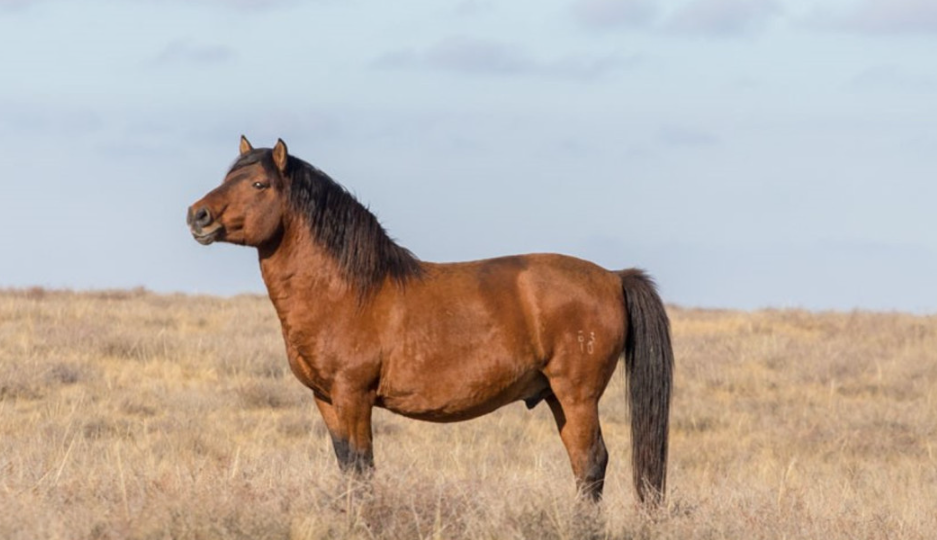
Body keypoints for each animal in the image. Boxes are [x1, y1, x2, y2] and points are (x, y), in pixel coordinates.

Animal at [187, 137, 673, 503]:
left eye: (258, 183)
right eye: (226, 177)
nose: (198, 215)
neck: (347, 290)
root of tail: (613, 277)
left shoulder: (353, 397)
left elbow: (362, 469)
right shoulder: (325, 399)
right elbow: (347, 468)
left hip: (577, 396)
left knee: (592, 464)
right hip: (557, 397)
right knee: (582, 465)